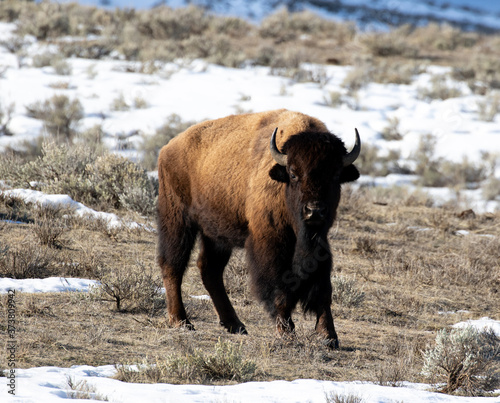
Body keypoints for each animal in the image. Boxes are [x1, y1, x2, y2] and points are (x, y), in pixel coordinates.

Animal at [157, 109, 360, 348]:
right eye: (293, 173)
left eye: (336, 175)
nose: (314, 211)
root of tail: (168, 148)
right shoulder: (270, 242)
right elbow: (280, 286)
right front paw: (286, 332)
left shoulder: (319, 245)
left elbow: (323, 289)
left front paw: (329, 336)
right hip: (177, 221)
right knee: (173, 266)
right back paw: (181, 321)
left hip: (216, 235)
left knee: (210, 270)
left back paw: (235, 324)